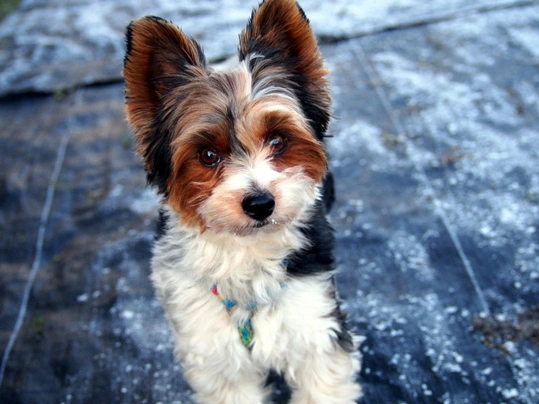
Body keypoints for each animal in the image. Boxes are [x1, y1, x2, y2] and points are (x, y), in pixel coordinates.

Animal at [122, 0, 362, 402]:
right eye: (207, 155)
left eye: (278, 140)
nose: (261, 204)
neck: (248, 253)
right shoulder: (214, 353)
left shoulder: (317, 331)